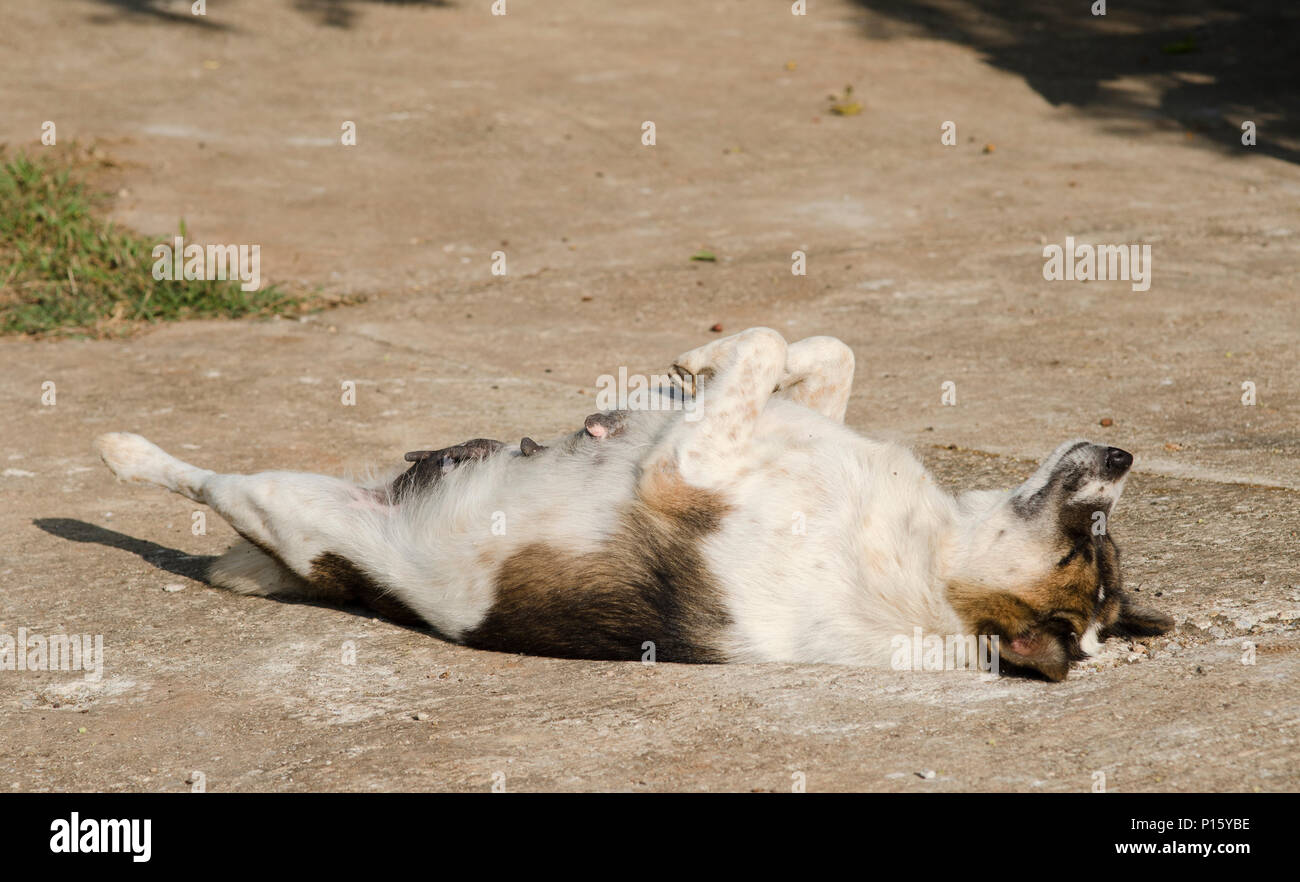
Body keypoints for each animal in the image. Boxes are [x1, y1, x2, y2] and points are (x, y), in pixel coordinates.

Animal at [96, 327, 1175, 681]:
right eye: (1099, 536)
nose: (1124, 453)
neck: (926, 565)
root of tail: (343, 585)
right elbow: (816, 354)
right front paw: (684, 365)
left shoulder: (686, 469)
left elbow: (763, 352)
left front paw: (697, 363)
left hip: (288, 504)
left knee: (198, 484)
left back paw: (118, 451)